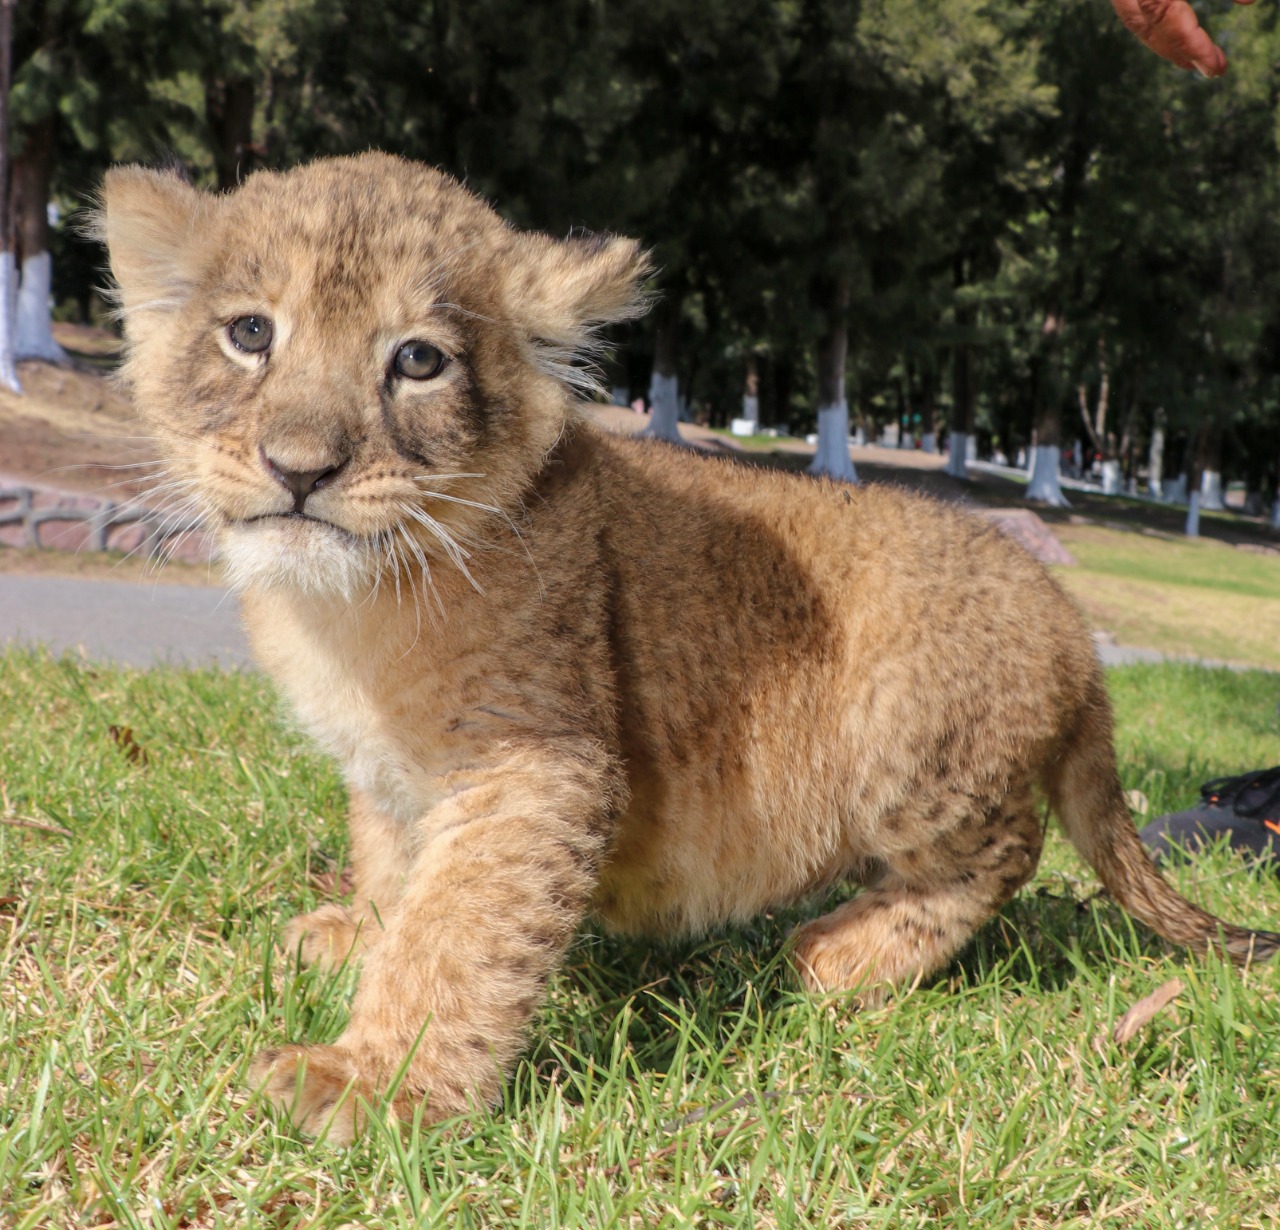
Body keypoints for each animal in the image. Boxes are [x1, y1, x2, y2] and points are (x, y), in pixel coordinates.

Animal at [98, 152, 1278, 1143]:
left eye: (418, 361)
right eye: (251, 334)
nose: (301, 467)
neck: (348, 611)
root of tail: (1072, 625)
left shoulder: (539, 764)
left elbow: (463, 929)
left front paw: (376, 1084)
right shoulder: (395, 774)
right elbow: (401, 868)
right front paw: (362, 934)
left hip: (911, 756)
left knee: (1006, 848)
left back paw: (838, 956)